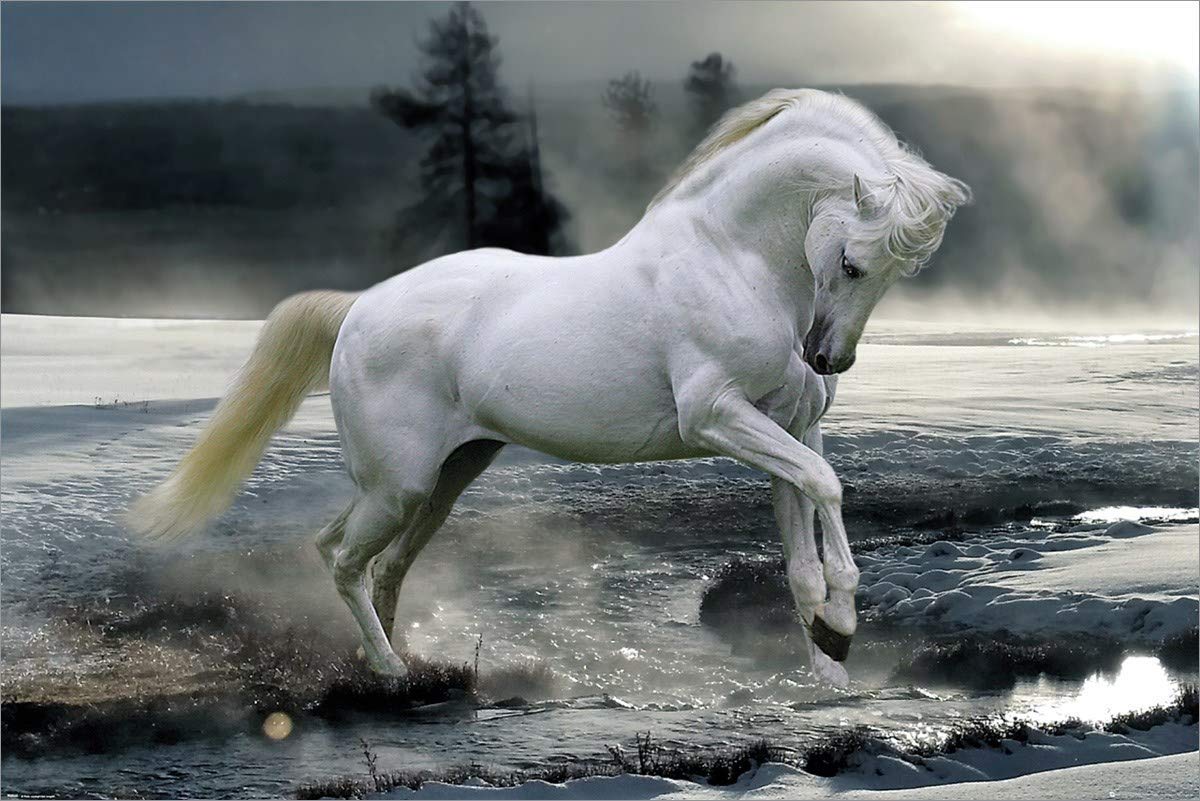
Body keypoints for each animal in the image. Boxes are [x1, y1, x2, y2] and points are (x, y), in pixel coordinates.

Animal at [129, 88, 970, 687]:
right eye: (854, 263)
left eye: (896, 275)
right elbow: (827, 486)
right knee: (342, 559)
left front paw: (829, 666)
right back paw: (391, 669)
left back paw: (399, 664)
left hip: (442, 478)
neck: (733, 260)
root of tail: (359, 308)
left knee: (376, 561)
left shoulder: (788, 427)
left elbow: (804, 547)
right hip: (400, 485)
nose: (828, 358)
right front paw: (841, 630)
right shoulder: (716, 417)